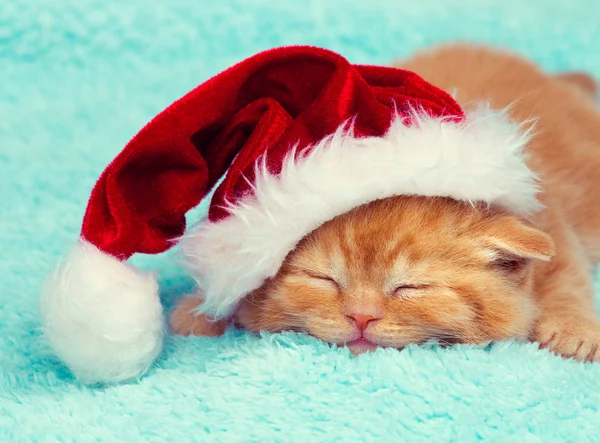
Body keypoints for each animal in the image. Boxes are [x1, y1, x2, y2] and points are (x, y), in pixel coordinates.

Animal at [169, 43, 600, 364]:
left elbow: (567, 273)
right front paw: (202, 309)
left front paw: (574, 328)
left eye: (410, 287)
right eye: (324, 279)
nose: (361, 317)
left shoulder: (550, 216)